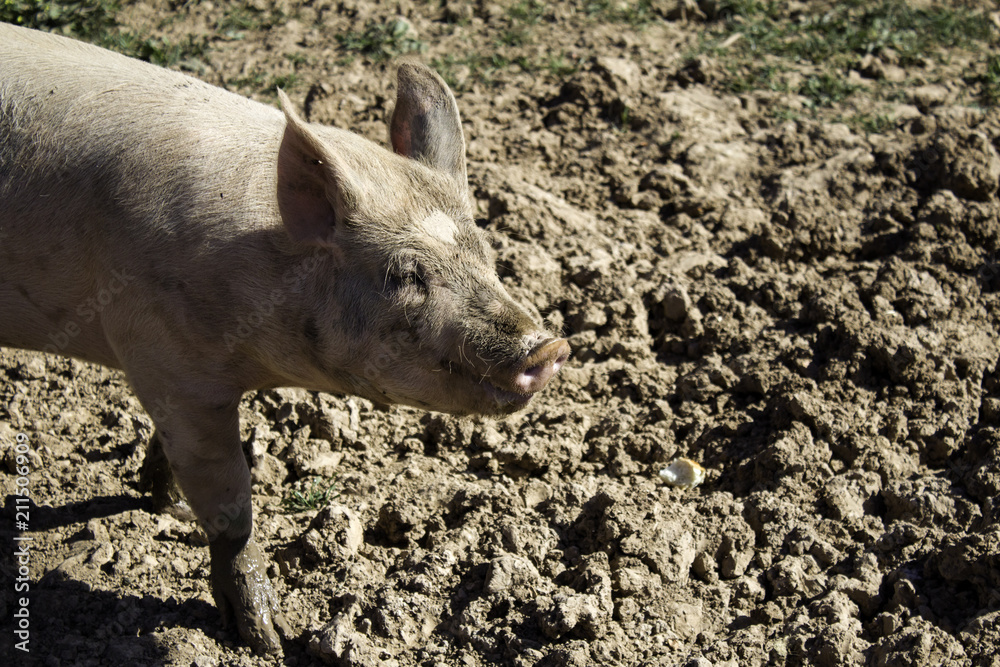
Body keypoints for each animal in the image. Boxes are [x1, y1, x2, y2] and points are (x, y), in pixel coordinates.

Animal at [0, 23, 572, 656]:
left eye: (487, 255)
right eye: (404, 275)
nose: (550, 347)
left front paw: (163, 505)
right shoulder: (173, 366)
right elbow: (230, 503)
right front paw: (268, 641)